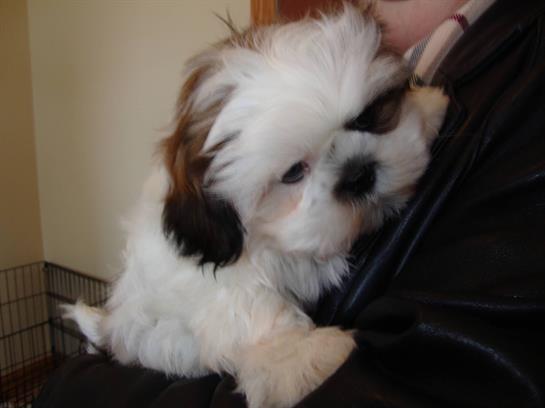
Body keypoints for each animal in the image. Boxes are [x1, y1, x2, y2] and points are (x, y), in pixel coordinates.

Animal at [65, 3, 448, 407]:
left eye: (365, 117)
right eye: (293, 172)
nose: (358, 174)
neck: (269, 237)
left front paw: (429, 107)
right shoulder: (216, 281)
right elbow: (256, 310)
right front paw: (305, 358)